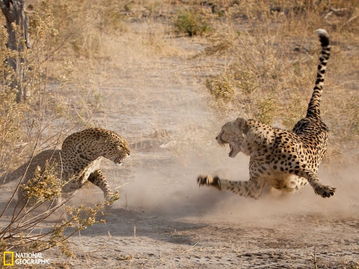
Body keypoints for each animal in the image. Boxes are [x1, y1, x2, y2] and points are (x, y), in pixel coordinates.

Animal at [0, 127, 130, 207]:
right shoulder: (58, 173)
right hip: (33, 178)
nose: (129, 153)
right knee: (24, 187)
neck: (92, 155)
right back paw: (25, 202)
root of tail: (33, 158)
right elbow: (56, 187)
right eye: (119, 145)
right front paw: (56, 204)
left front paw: (109, 196)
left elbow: (104, 182)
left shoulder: (93, 171)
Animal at [198, 29, 336, 197]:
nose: (216, 137)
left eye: (224, 130)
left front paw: (323, 188)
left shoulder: (301, 169)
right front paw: (210, 180)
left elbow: (311, 175)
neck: (259, 148)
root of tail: (312, 116)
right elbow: (232, 184)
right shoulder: (254, 186)